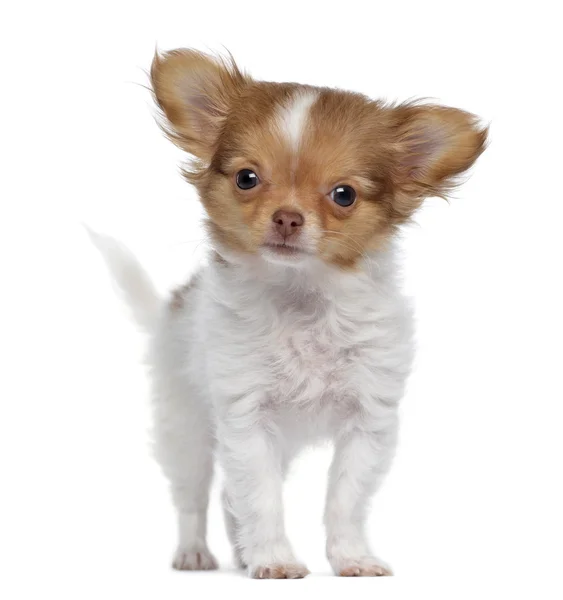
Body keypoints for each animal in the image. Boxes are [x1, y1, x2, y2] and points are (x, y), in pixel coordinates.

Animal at [91, 50, 484, 576]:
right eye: (247, 178)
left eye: (344, 194)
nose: (287, 217)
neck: (303, 301)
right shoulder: (247, 417)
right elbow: (261, 497)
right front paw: (275, 559)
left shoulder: (368, 421)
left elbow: (345, 500)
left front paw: (350, 558)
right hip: (185, 425)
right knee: (194, 494)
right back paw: (196, 552)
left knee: (226, 494)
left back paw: (241, 552)